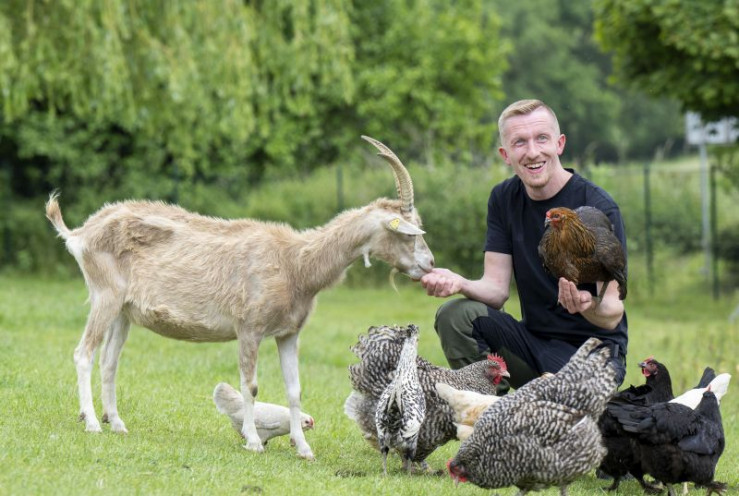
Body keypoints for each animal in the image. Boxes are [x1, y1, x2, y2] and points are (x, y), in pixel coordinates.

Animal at [45, 136, 434, 460]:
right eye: (408, 232)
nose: (429, 264)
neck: (296, 263)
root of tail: (80, 233)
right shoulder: (249, 328)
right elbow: (251, 385)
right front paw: (253, 441)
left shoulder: (288, 333)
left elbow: (294, 390)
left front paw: (304, 448)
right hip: (105, 296)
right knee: (84, 353)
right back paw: (92, 422)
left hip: (124, 312)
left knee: (109, 362)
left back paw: (117, 423)